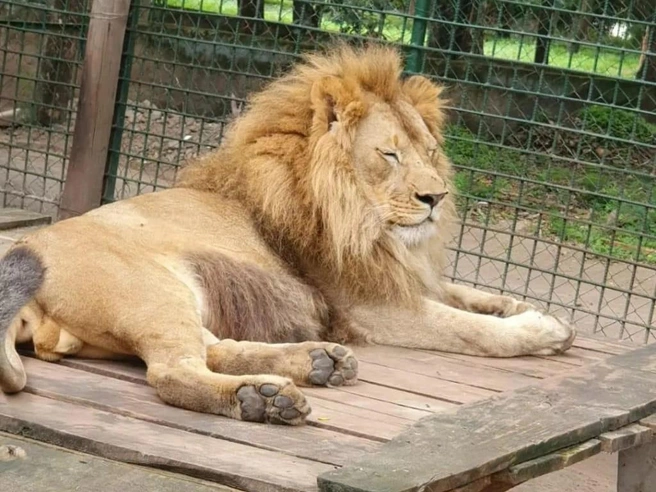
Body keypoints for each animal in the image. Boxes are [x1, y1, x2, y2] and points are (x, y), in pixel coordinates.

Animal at [0, 44, 575, 425]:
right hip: (149, 291)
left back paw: (316, 363)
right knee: (173, 373)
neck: (367, 224)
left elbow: (467, 294)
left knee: (214, 348)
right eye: (389, 154)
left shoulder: (397, 275)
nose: (436, 198)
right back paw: (263, 399)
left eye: (430, 152)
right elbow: (469, 329)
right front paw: (539, 330)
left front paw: (522, 307)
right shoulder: (372, 308)